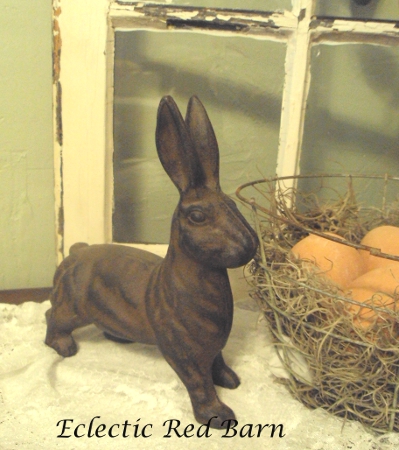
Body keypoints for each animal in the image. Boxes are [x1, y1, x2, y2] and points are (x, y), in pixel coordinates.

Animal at [45, 95, 260, 428]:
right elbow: (199, 383)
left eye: (233, 206)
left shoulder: (214, 350)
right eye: (197, 216)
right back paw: (65, 347)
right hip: (73, 306)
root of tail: (75, 253)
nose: (250, 246)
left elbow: (218, 365)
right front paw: (218, 415)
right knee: (52, 316)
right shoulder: (184, 353)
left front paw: (231, 381)